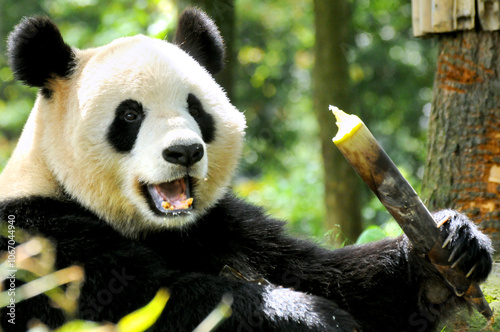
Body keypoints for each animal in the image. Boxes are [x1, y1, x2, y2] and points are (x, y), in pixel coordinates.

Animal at [0, 7, 492, 332]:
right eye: (130, 115)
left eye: (196, 108)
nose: (184, 152)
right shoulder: (39, 237)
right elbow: (140, 304)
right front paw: (309, 316)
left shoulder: (226, 226)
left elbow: (341, 282)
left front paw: (453, 246)